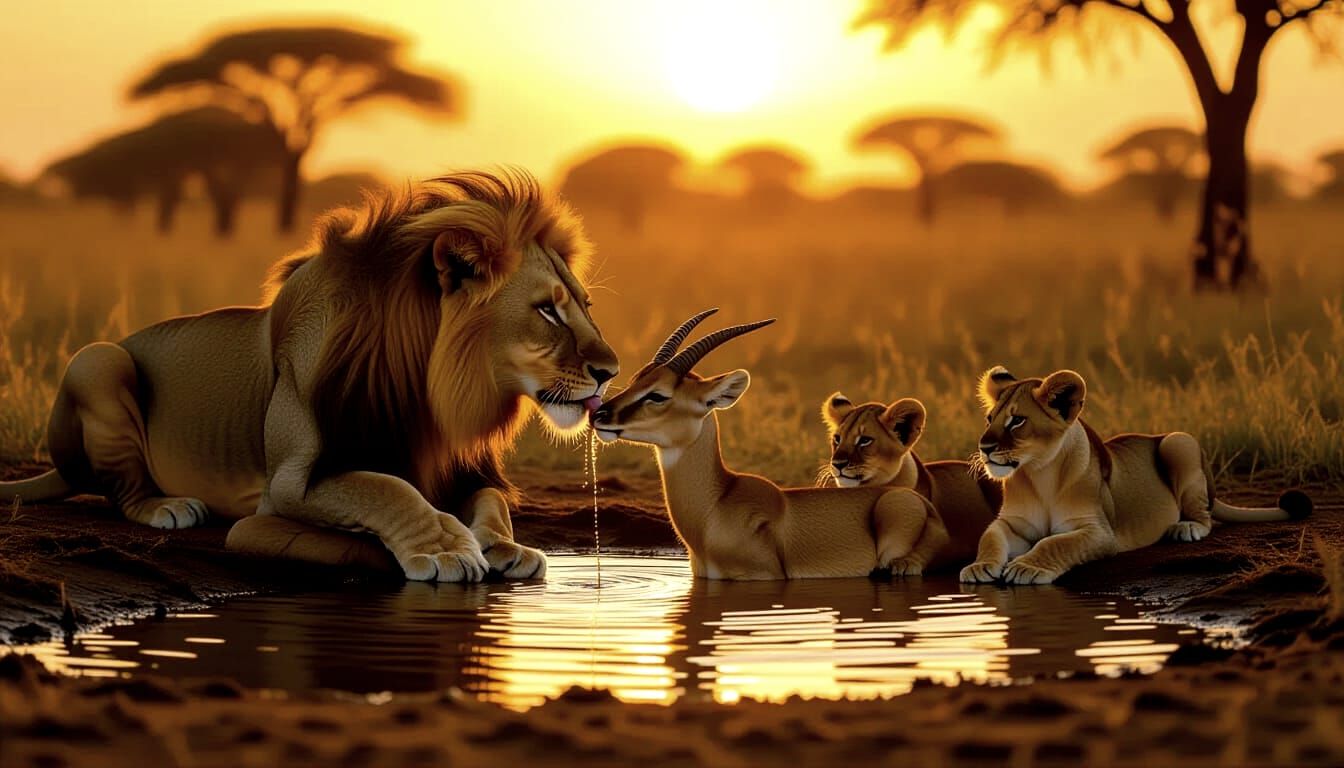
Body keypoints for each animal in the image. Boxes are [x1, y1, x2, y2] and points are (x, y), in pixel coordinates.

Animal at [0, 169, 620, 582]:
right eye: (547, 310)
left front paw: (500, 545)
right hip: (99, 358)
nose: (610, 371)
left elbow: (492, 499)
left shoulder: (461, 464)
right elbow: (383, 487)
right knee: (122, 488)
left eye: (586, 305)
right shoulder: (289, 486)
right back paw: (167, 507)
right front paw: (446, 546)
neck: (431, 392)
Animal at [821, 393, 1002, 572]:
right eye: (837, 439)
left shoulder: (943, 532)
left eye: (864, 440)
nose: (836, 463)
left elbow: (932, 543)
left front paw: (905, 563)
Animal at [961, 366, 1312, 585]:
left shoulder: (1100, 533)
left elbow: (1055, 543)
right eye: (990, 419)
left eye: (1017, 421)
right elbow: (990, 537)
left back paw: (1185, 528)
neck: (1038, 473)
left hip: (1179, 442)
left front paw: (1026, 567)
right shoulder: (1012, 524)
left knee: (1206, 516)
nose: (984, 447)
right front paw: (979, 567)